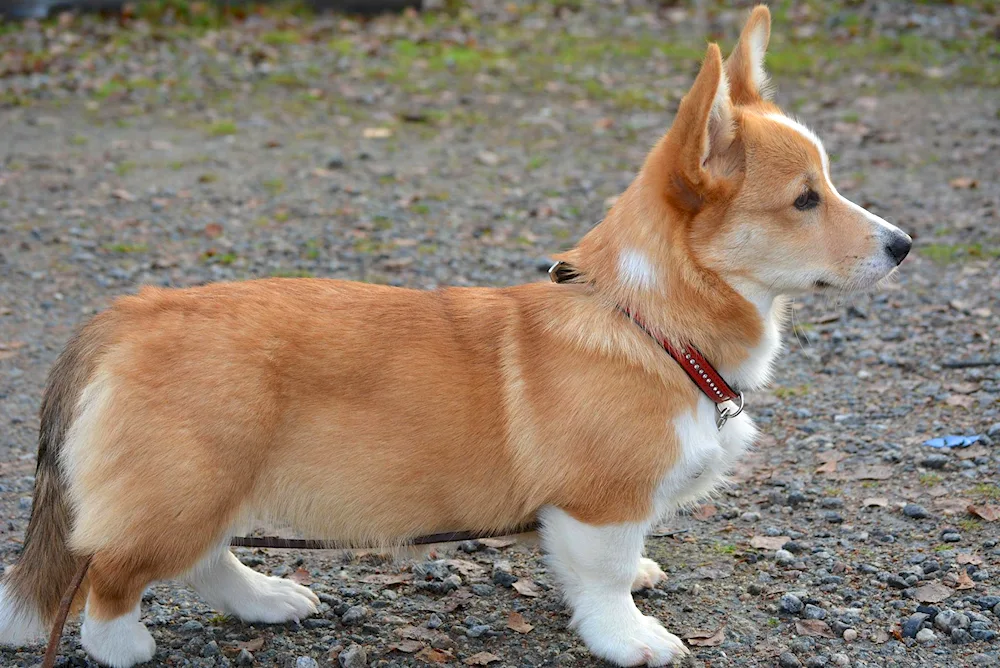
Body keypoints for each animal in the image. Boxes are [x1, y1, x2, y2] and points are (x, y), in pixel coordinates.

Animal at [0, 6, 908, 668]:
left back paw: (268, 599)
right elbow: (608, 580)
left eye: (828, 185)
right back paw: (127, 645)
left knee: (201, 559)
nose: (905, 245)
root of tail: (126, 314)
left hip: (210, 489)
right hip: (188, 487)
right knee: (112, 575)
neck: (650, 323)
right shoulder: (598, 503)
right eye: (804, 200)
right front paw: (634, 639)